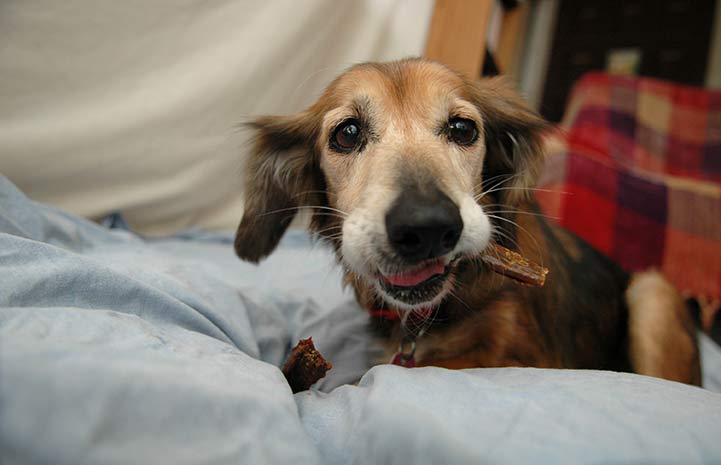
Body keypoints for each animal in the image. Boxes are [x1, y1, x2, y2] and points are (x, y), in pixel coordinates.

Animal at [233, 58, 700, 384]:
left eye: (462, 128)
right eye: (347, 133)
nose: (426, 228)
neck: (427, 317)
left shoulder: (537, 360)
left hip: (652, 293)